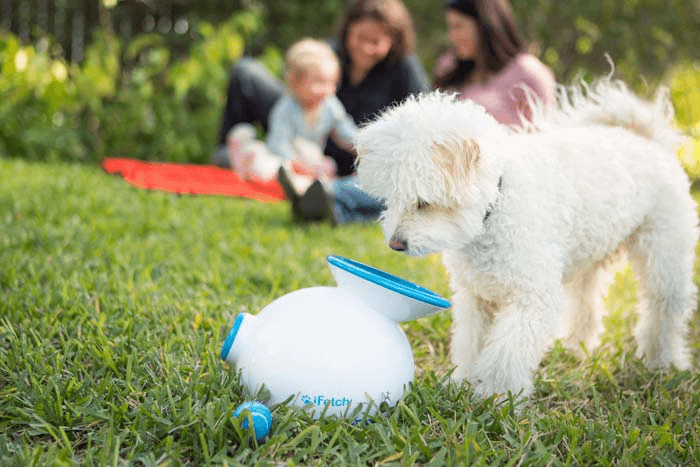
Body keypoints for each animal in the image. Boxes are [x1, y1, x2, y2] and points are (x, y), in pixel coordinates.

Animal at [358, 78, 696, 400]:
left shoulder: (532, 299)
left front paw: (495, 396)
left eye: (423, 203)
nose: (395, 245)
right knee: (586, 305)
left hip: (664, 255)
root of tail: (645, 139)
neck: (495, 204)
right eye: (389, 199)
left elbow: (505, 356)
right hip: (589, 258)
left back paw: (663, 361)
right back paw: (577, 347)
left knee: (664, 306)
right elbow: (470, 344)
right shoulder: (476, 297)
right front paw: (462, 383)